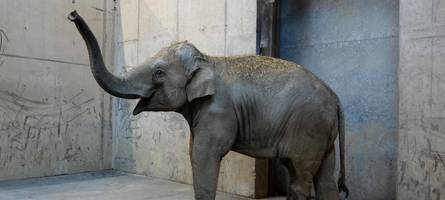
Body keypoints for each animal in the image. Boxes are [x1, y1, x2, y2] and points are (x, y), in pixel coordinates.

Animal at [67, 10, 348, 199]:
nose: (72, 14)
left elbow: (203, 155)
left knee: (300, 175)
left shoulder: (217, 110)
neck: (208, 59)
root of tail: (335, 97)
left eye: (158, 73)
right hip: (322, 132)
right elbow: (194, 150)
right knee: (325, 179)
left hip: (308, 126)